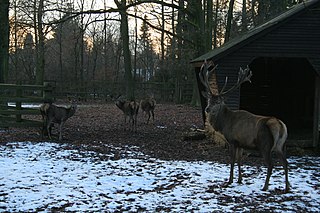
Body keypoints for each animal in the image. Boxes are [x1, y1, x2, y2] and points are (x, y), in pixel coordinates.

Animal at [200, 60, 290, 192]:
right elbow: (239, 160)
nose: (207, 109)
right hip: (280, 145)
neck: (225, 123)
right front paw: (239, 179)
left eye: (218, 102)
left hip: (265, 145)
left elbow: (232, 160)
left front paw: (229, 180)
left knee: (271, 164)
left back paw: (265, 186)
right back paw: (287, 187)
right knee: (285, 163)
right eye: (209, 100)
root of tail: (280, 125)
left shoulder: (232, 140)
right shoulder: (241, 143)